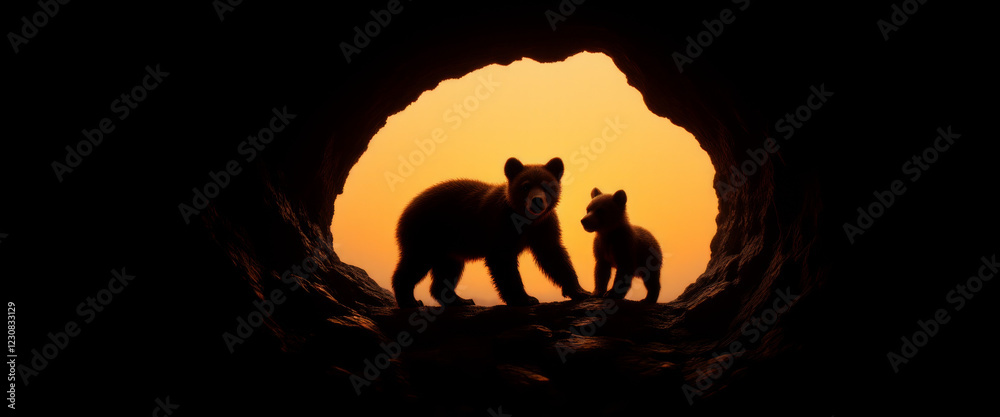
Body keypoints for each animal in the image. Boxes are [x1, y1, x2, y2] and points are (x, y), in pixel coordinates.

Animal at [391, 157, 590, 308]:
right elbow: (503, 263)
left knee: (448, 271)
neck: (526, 221)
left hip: (449, 247)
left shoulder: (544, 227)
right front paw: (524, 298)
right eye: (525, 186)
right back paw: (409, 300)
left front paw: (580, 291)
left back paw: (460, 300)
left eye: (547, 185)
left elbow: (554, 257)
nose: (537, 201)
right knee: (415, 263)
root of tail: (407, 207)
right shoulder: (501, 226)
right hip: (426, 233)